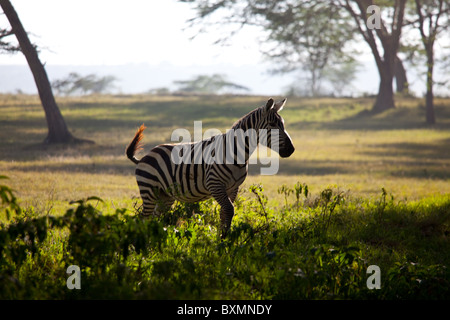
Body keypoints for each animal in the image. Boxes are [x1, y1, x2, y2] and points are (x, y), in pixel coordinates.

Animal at [126, 99, 296, 236]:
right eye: (272, 125)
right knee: (143, 219)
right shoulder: (215, 184)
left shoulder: (233, 188)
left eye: (283, 125)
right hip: (149, 191)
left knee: (154, 219)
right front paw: (223, 238)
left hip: (165, 196)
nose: (291, 149)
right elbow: (229, 210)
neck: (237, 152)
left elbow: (224, 213)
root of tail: (144, 157)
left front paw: (222, 239)